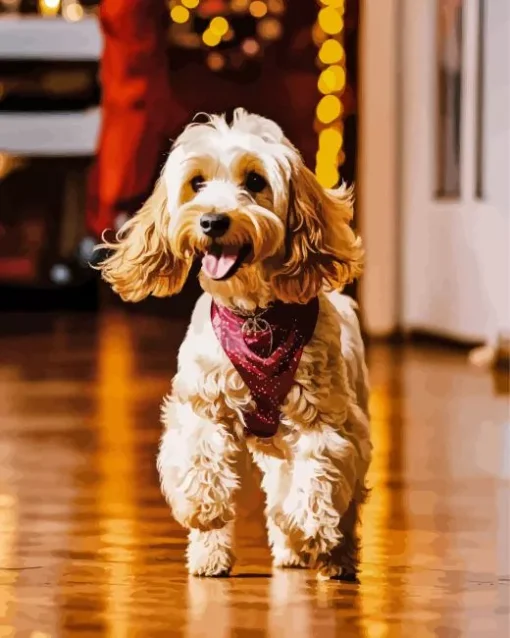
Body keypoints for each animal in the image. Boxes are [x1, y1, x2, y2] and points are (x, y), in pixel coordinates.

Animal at [97, 111, 372, 584]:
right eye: (197, 183)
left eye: (256, 181)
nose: (212, 221)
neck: (255, 318)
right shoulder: (202, 406)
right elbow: (201, 465)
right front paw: (205, 511)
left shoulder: (325, 419)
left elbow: (318, 475)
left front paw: (312, 527)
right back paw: (214, 556)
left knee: (334, 500)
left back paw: (332, 556)